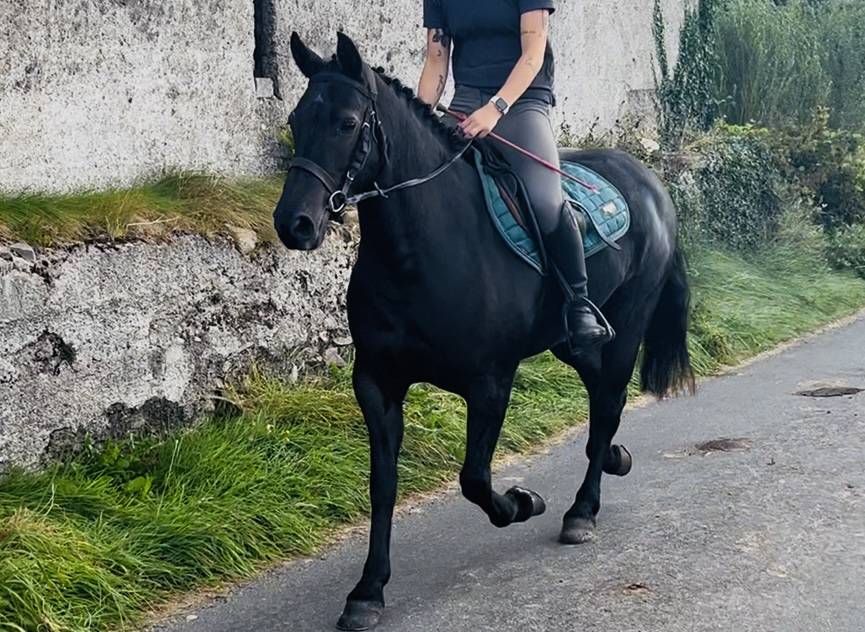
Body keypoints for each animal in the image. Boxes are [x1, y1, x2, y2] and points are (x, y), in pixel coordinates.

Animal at [274, 32, 695, 631]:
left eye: (348, 122)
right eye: (296, 117)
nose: (295, 224)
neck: (419, 249)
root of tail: (649, 180)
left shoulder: (490, 381)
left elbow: (474, 478)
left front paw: (523, 502)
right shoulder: (376, 383)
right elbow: (382, 485)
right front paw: (367, 591)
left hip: (624, 330)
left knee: (608, 401)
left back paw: (581, 511)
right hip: (572, 343)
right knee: (600, 403)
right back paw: (614, 458)